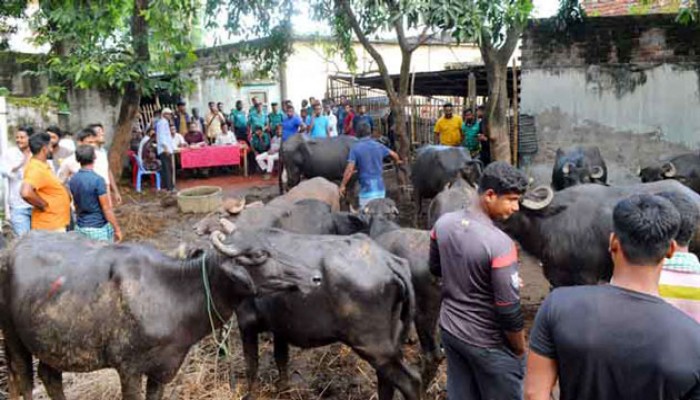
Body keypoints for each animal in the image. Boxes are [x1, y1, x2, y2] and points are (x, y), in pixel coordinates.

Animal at [0, 230, 318, 400]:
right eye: (259, 255)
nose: (315, 277)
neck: (171, 292)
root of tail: (13, 246)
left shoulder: (164, 369)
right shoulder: (128, 368)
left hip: (52, 344)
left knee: (49, 376)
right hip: (13, 340)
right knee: (24, 380)